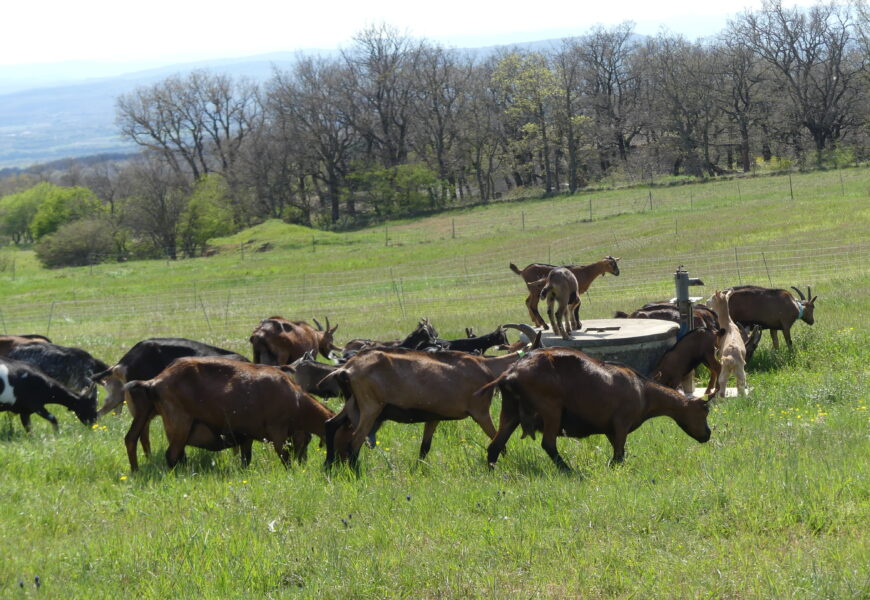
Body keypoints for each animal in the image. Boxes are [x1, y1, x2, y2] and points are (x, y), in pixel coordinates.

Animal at [123, 356, 354, 468]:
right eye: (345, 436)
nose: (347, 462)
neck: (295, 399)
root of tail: (155, 381)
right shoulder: (277, 430)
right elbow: (285, 457)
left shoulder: (246, 435)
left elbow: (246, 459)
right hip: (180, 422)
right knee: (171, 455)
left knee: (133, 439)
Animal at [480, 346, 712, 468]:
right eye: (705, 411)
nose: (708, 434)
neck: (643, 391)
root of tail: (511, 373)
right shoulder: (621, 424)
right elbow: (619, 454)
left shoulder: (610, 429)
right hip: (551, 410)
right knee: (548, 444)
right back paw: (567, 470)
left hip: (510, 412)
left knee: (495, 446)